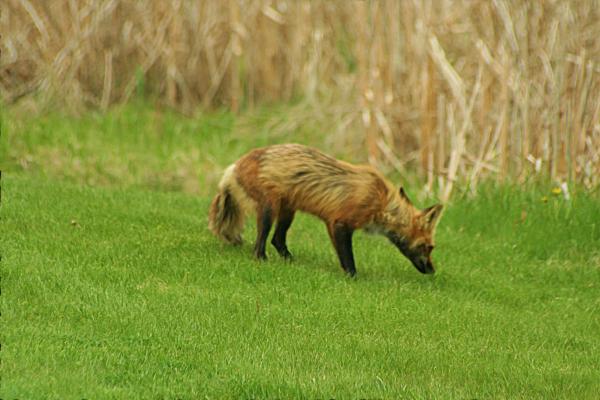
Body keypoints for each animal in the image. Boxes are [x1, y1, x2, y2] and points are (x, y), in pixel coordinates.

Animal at [209, 142, 442, 276]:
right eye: (428, 247)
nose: (432, 271)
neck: (381, 202)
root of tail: (234, 165)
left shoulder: (333, 224)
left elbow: (341, 256)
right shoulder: (340, 223)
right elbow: (348, 259)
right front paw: (353, 278)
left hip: (288, 211)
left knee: (277, 240)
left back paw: (291, 262)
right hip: (269, 209)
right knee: (260, 246)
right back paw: (264, 261)